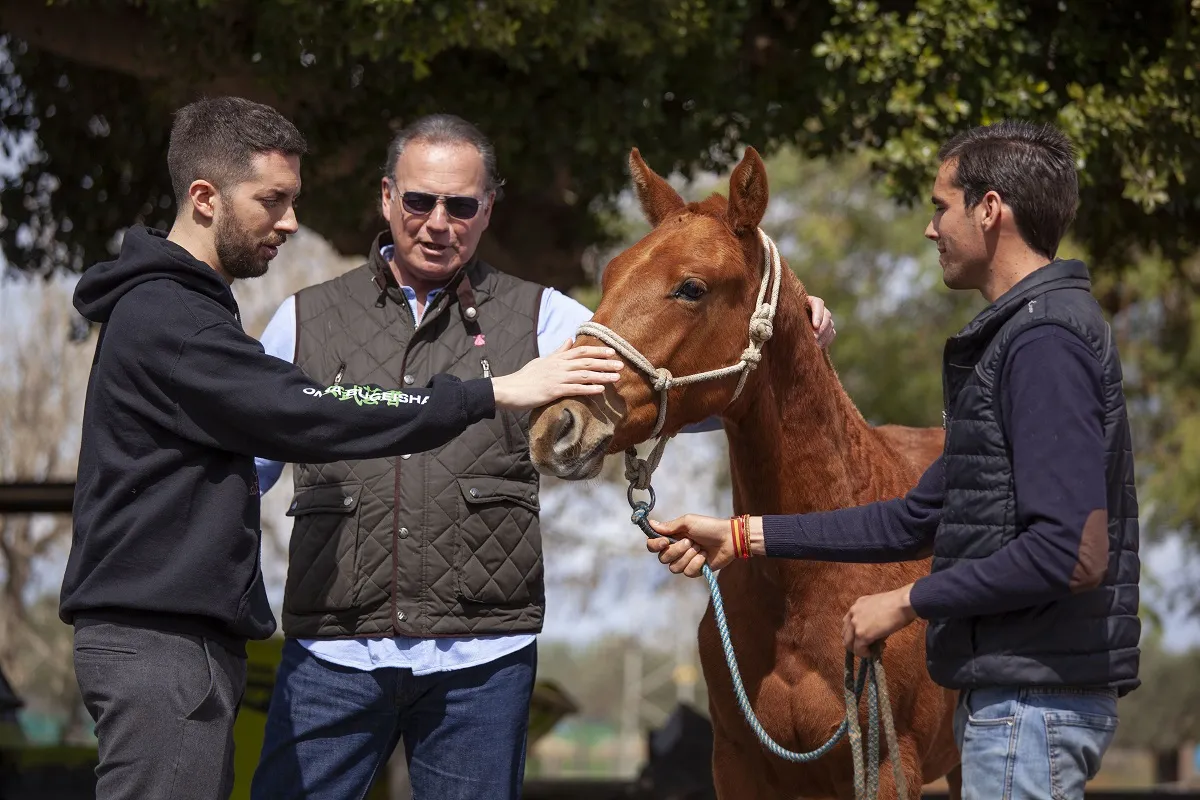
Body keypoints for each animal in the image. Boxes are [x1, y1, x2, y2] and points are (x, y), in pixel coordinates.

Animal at [530, 146, 960, 796]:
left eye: (691, 287)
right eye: (608, 276)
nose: (555, 427)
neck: (811, 580)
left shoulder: (890, 765)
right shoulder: (737, 762)